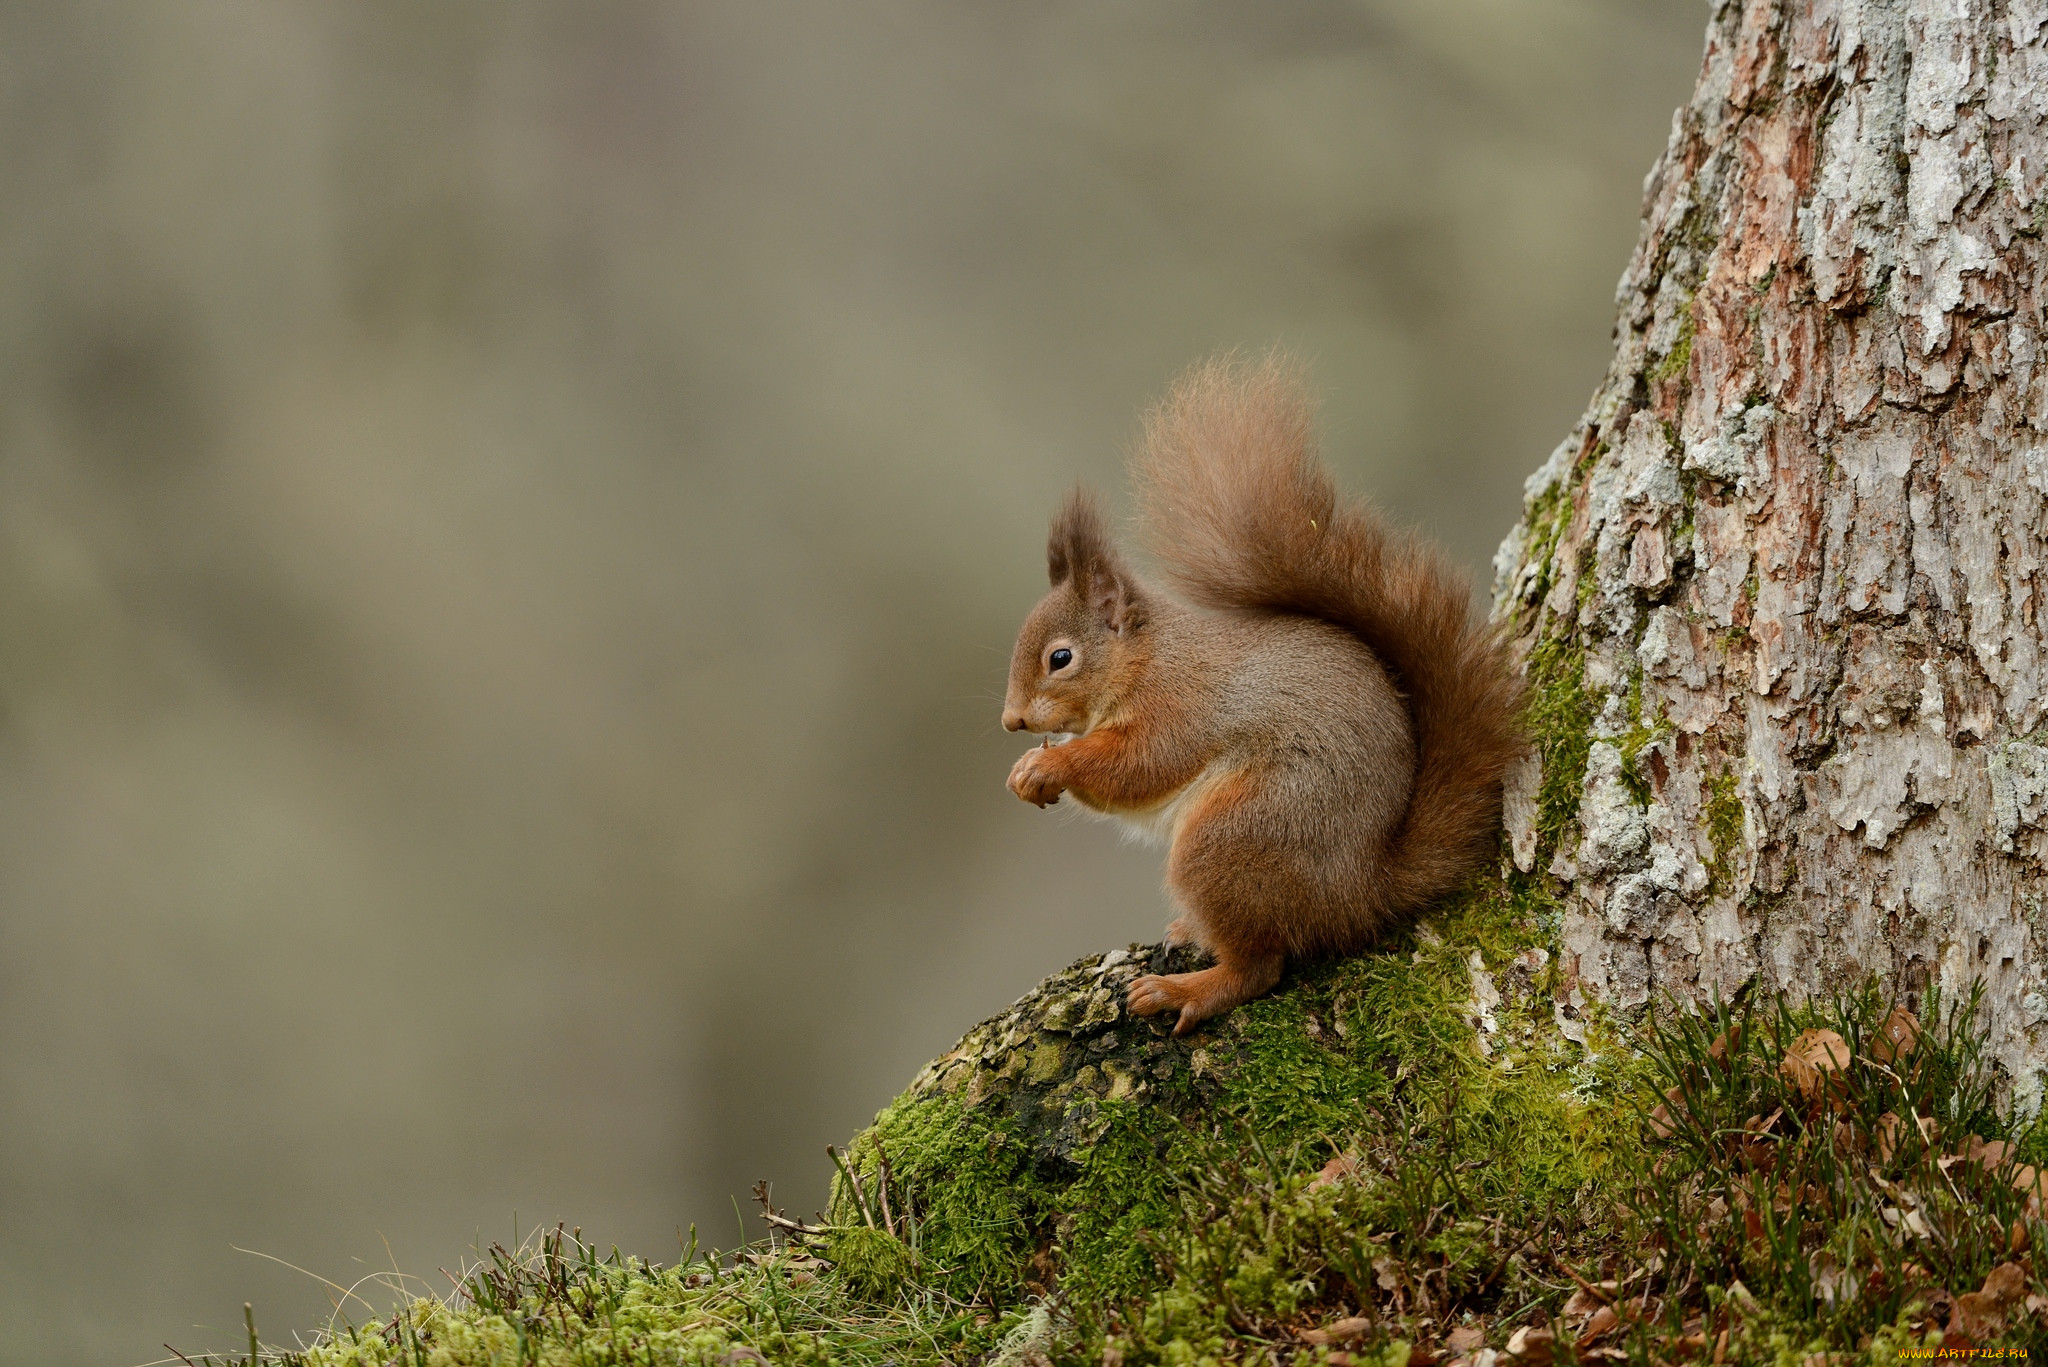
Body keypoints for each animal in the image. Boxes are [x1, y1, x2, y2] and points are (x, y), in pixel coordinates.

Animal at [999, 352, 1531, 1037]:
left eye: (1060, 658)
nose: (1011, 721)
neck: (1145, 661)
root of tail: (1360, 891)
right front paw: (1027, 769)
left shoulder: (1181, 705)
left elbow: (1139, 766)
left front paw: (1050, 763)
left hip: (1234, 838)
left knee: (1260, 968)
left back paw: (1185, 990)